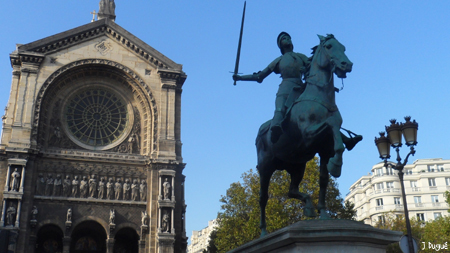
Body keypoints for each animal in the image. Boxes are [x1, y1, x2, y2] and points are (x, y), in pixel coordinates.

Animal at [255, 34, 354, 237]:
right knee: (263, 198)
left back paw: (308, 206)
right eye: (329, 46)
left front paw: (323, 212)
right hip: (266, 167)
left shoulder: (324, 150)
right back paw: (263, 232)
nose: (346, 64)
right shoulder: (309, 136)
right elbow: (331, 123)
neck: (320, 98)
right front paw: (336, 166)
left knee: (292, 191)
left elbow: (323, 179)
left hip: (297, 166)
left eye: (343, 47)